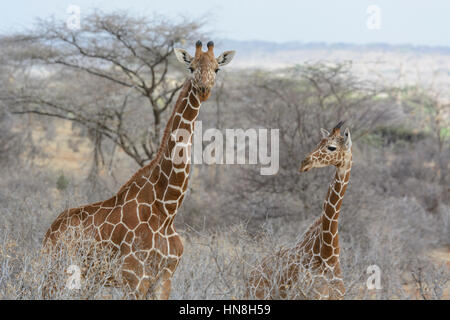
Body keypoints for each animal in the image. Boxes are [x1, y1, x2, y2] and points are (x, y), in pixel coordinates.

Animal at [44, 40, 237, 300]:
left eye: (217, 68)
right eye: (191, 67)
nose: (203, 89)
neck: (167, 209)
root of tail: (50, 230)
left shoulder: (164, 279)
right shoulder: (134, 278)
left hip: (88, 278)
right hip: (56, 270)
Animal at [248, 121, 354, 298]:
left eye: (331, 147)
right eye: (318, 143)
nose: (304, 163)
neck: (328, 256)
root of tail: (253, 271)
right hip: (255, 294)